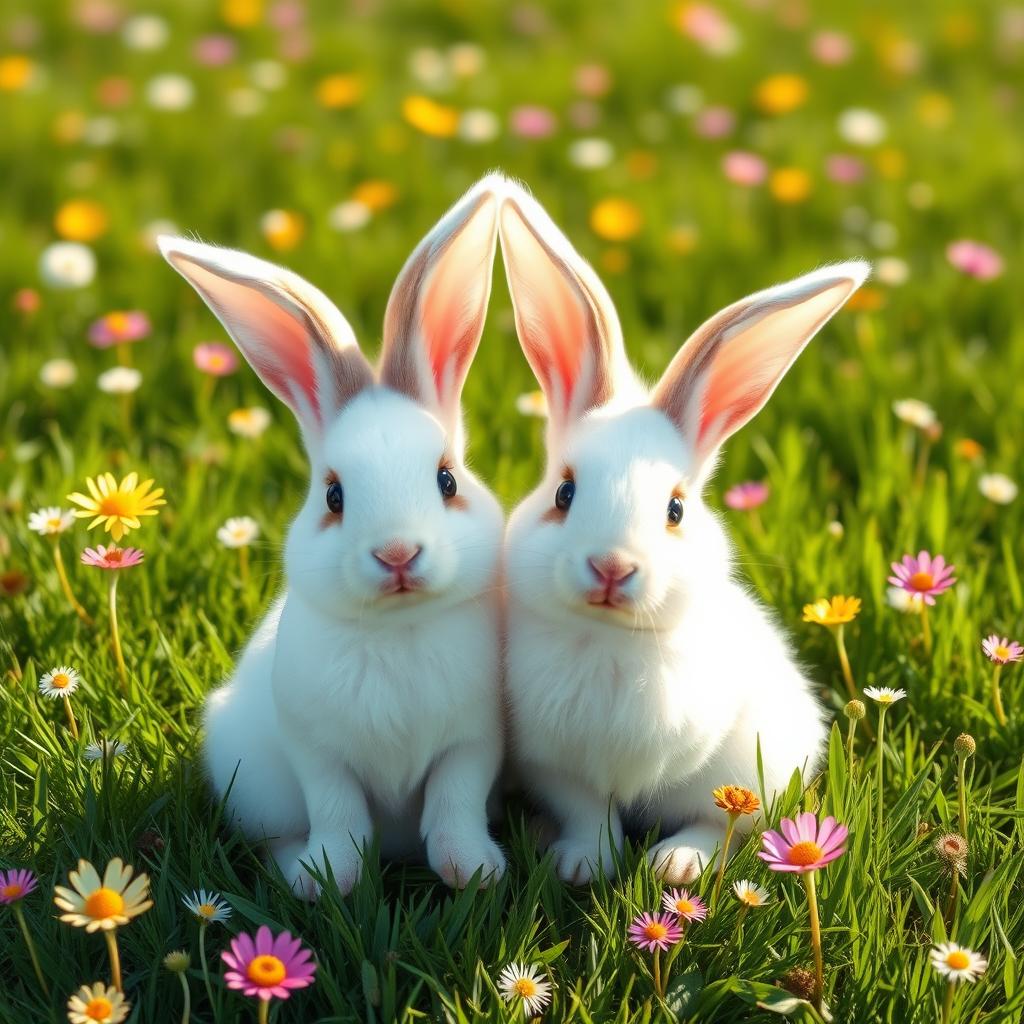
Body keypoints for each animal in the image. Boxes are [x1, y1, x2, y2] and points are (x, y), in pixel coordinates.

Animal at [159, 174, 509, 898]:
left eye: (447, 480)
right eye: (334, 496)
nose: (397, 553)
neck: (400, 627)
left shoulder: (474, 743)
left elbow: (454, 804)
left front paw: (473, 871)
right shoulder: (315, 753)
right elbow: (338, 814)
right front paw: (326, 881)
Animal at [496, 181, 869, 885]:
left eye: (675, 509)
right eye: (564, 493)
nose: (612, 567)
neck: (611, 639)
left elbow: (721, 820)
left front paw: (666, 867)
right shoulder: (558, 766)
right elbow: (590, 813)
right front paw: (582, 865)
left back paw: (675, 864)